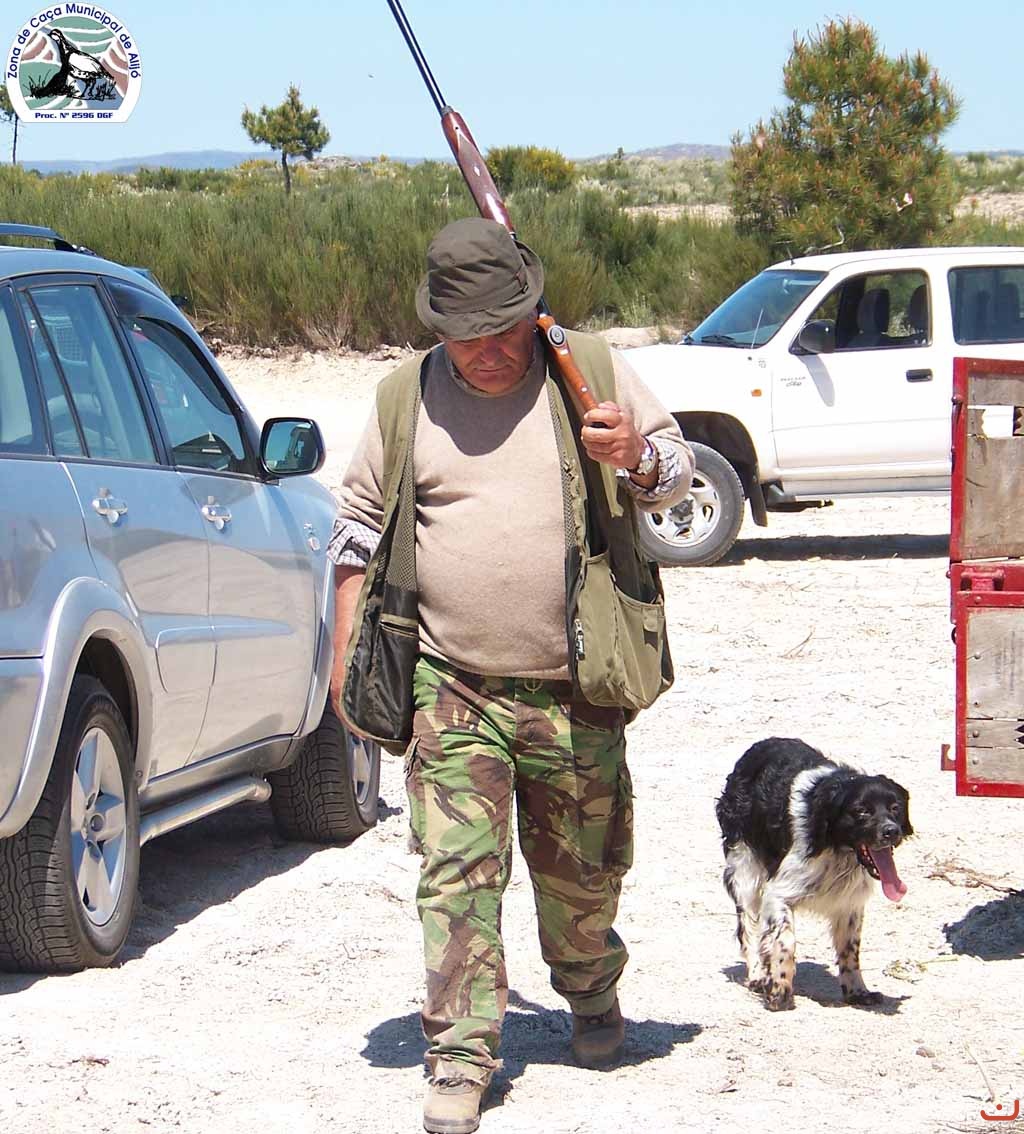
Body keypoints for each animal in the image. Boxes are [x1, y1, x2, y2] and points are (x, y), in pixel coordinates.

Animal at [715, 737, 912, 1011]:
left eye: (895, 808)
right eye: (862, 810)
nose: (891, 831)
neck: (835, 847)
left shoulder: (849, 903)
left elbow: (850, 949)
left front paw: (857, 991)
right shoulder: (779, 893)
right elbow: (785, 942)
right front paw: (779, 989)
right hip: (745, 871)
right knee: (748, 928)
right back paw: (756, 975)